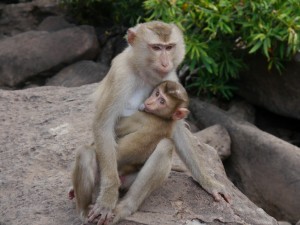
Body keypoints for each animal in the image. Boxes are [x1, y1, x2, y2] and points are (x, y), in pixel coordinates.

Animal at [69, 80, 189, 224]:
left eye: (162, 101)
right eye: (157, 93)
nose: (149, 102)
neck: (165, 118)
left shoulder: (139, 116)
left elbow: (106, 133)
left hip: (102, 178)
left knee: (85, 152)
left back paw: (85, 211)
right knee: (166, 145)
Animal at [88, 20, 231, 223]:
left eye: (169, 47)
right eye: (156, 47)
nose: (165, 62)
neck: (143, 72)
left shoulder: (170, 77)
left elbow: (177, 130)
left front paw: (208, 181)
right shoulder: (120, 75)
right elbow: (104, 125)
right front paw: (107, 198)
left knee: (165, 146)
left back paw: (126, 208)